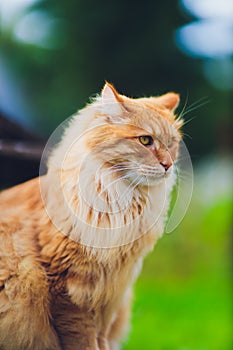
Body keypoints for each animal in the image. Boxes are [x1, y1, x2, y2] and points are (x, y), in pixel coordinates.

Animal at [0, 82, 182, 350]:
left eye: (171, 144)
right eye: (145, 140)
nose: (168, 165)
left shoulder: (111, 297)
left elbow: (102, 340)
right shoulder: (70, 293)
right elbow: (84, 340)